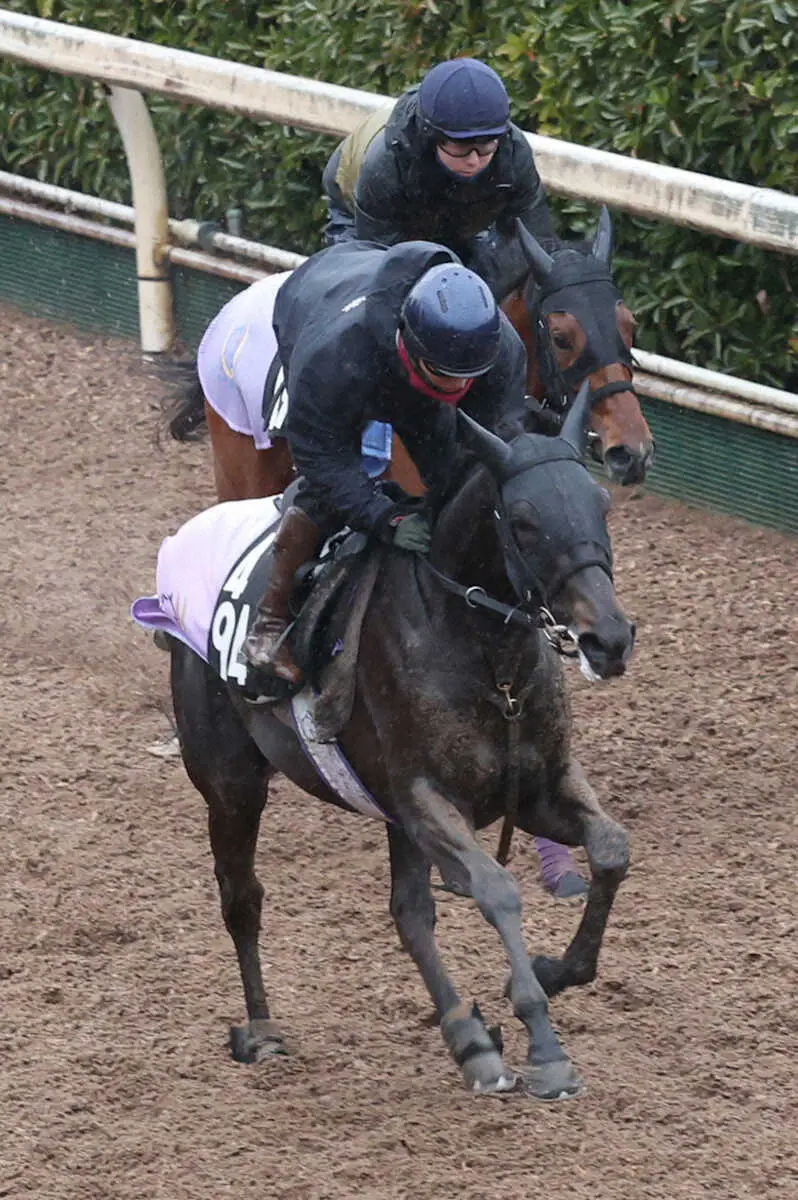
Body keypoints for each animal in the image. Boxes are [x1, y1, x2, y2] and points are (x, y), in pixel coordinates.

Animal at [166, 384, 633, 1099]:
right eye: (524, 520)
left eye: (599, 503)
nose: (609, 639)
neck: (492, 667)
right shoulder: (425, 798)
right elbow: (497, 890)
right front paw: (545, 1042)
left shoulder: (534, 789)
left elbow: (610, 849)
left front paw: (553, 973)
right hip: (231, 785)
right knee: (241, 899)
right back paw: (263, 1030)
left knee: (409, 912)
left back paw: (471, 1038)